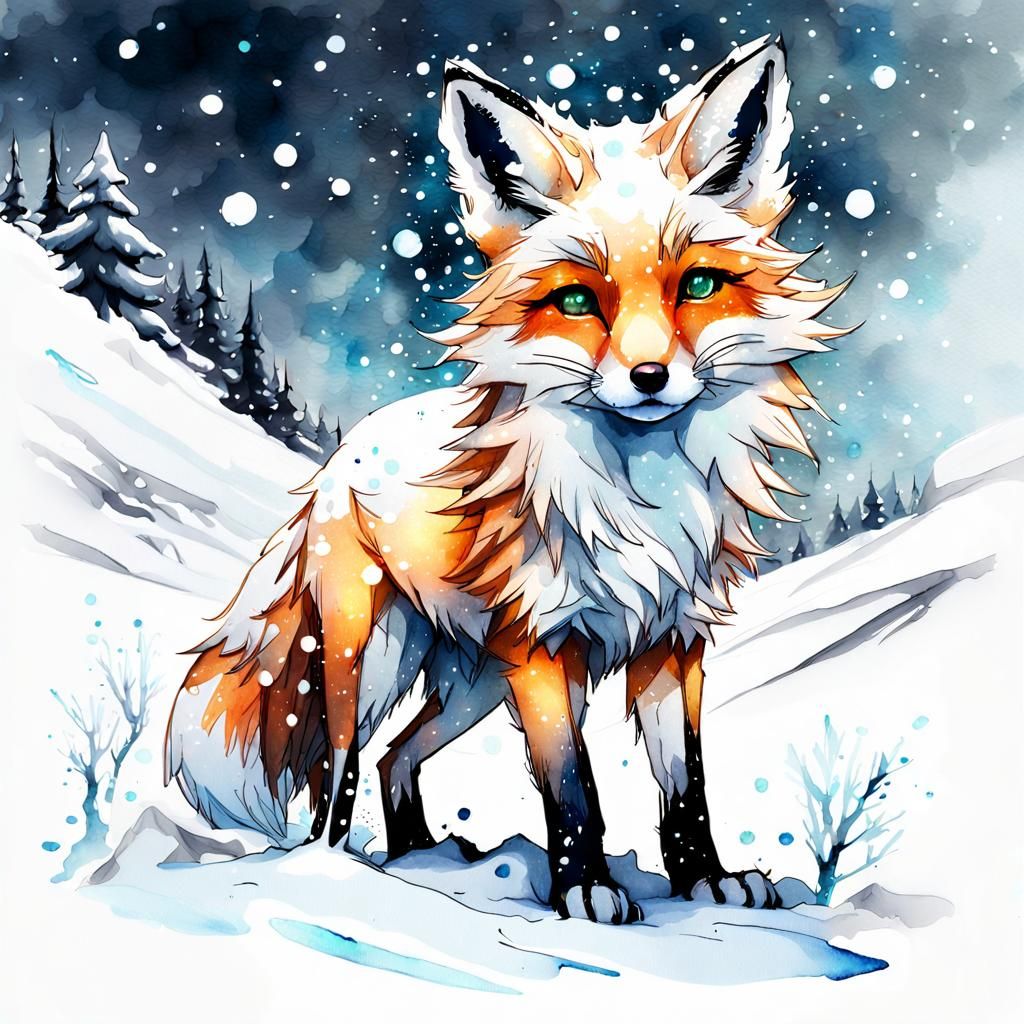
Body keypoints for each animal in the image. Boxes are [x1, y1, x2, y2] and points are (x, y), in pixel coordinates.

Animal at [166, 35, 851, 924]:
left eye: (698, 285)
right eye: (577, 301)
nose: (650, 377)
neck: (643, 502)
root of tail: (341, 458)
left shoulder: (672, 638)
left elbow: (686, 783)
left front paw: (707, 878)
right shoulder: (544, 649)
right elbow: (572, 786)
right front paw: (585, 887)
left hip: (473, 685)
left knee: (395, 758)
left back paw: (423, 855)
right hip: (371, 656)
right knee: (340, 769)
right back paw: (338, 871)